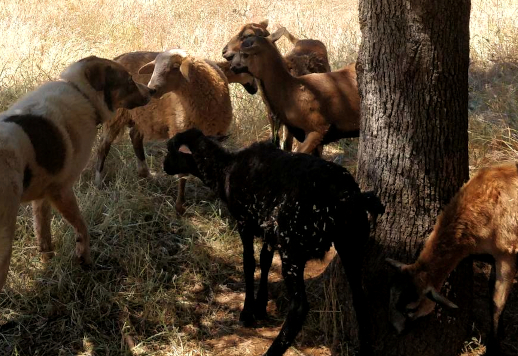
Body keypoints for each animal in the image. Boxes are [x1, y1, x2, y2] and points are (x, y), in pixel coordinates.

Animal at [0, 55, 152, 290]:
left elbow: (44, 235)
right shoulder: (62, 191)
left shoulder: (43, 196)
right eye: (129, 80)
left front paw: (48, 264)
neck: (82, 93)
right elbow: (83, 227)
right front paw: (84, 258)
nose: (152, 91)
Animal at [164, 129, 382, 356]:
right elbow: (265, 260)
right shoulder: (268, 230)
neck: (224, 169)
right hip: (350, 242)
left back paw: (273, 350)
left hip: (294, 247)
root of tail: (349, 196)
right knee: (360, 298)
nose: (164, 166)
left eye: (170, 148)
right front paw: (260, 305)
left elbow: (249, 262)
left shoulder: (244, 222)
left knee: (299, 307)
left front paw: (247, 312)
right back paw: (365, 348)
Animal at [221, 19, 332, 150]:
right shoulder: (271, 116)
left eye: (248, 35)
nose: (224, 51)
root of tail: (303, 40)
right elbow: (275, 141)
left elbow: (287, 144)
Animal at [388, 163, 518, 354]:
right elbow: (491, 293)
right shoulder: (491, 256)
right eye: (391, 296)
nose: (395, 330)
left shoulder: (507, 255)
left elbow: (497, 303)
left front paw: (493, 346)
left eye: (411, 309)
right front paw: (500, 331)